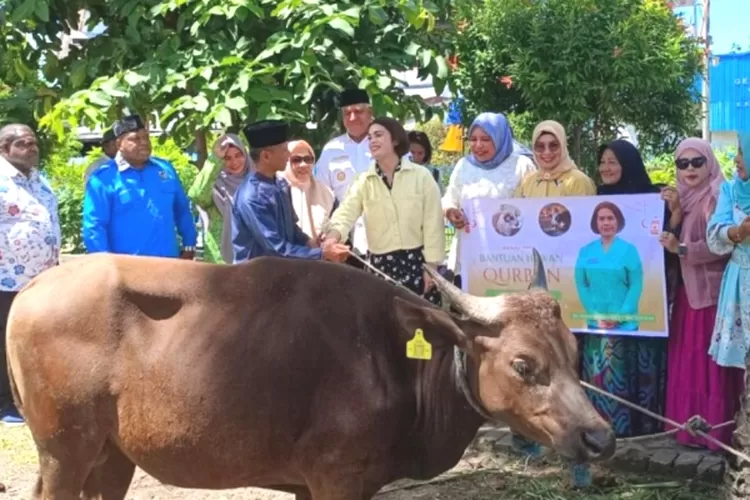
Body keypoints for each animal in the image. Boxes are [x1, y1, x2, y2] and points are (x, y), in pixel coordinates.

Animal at [7, 250, 616, 500]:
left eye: (575, 353)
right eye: (523, 364)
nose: (600, 437)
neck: (396, 359)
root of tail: (35, 285)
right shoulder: (335, 480)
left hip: (112, 454)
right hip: (64, 452)